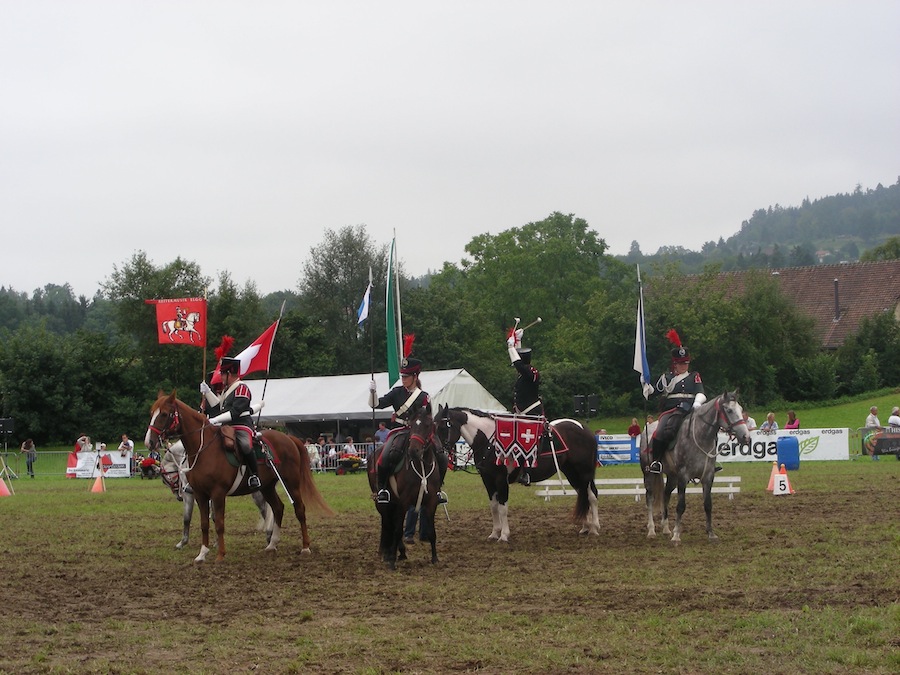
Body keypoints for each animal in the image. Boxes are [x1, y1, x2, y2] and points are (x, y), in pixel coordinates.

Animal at [146, 390, 332, 564]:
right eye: (152, 412)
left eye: (164, 414)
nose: (149, 442)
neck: (204, 449)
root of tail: (289, 438)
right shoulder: (200, 494)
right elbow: (204, 524)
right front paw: (202, 554)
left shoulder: (217, 494)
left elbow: (219, 523)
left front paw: (220, 554)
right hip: (266, 487)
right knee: (278, 508)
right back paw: (272, 544)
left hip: (291, 483)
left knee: (299, 509)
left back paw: (305, 547)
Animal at [434, 404, 600, 540]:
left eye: (442, 427)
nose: (438, 451)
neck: (489, 441)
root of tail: (585, 429)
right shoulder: (487, 479)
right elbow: (493, 506)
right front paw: (494, 533)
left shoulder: (501, 479)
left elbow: (502, 507)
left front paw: (504, 535)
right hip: (571, 472)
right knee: (582, 494)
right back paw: (585, 527)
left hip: (584, 472)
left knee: (591, 495)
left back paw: (594, 528)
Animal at [640, 390, 752, 544]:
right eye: (729, 410)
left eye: (740, 409)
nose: (746, 437)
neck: (701, 437)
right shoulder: (683, 476)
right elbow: (681, 506)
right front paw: (676, 535)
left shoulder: (708, 477)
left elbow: (708, 505)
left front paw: (711, 534)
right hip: (649, 474)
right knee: (650, 498)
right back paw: (651, 530)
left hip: (672, 477)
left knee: (665, 496)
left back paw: (666, 528)